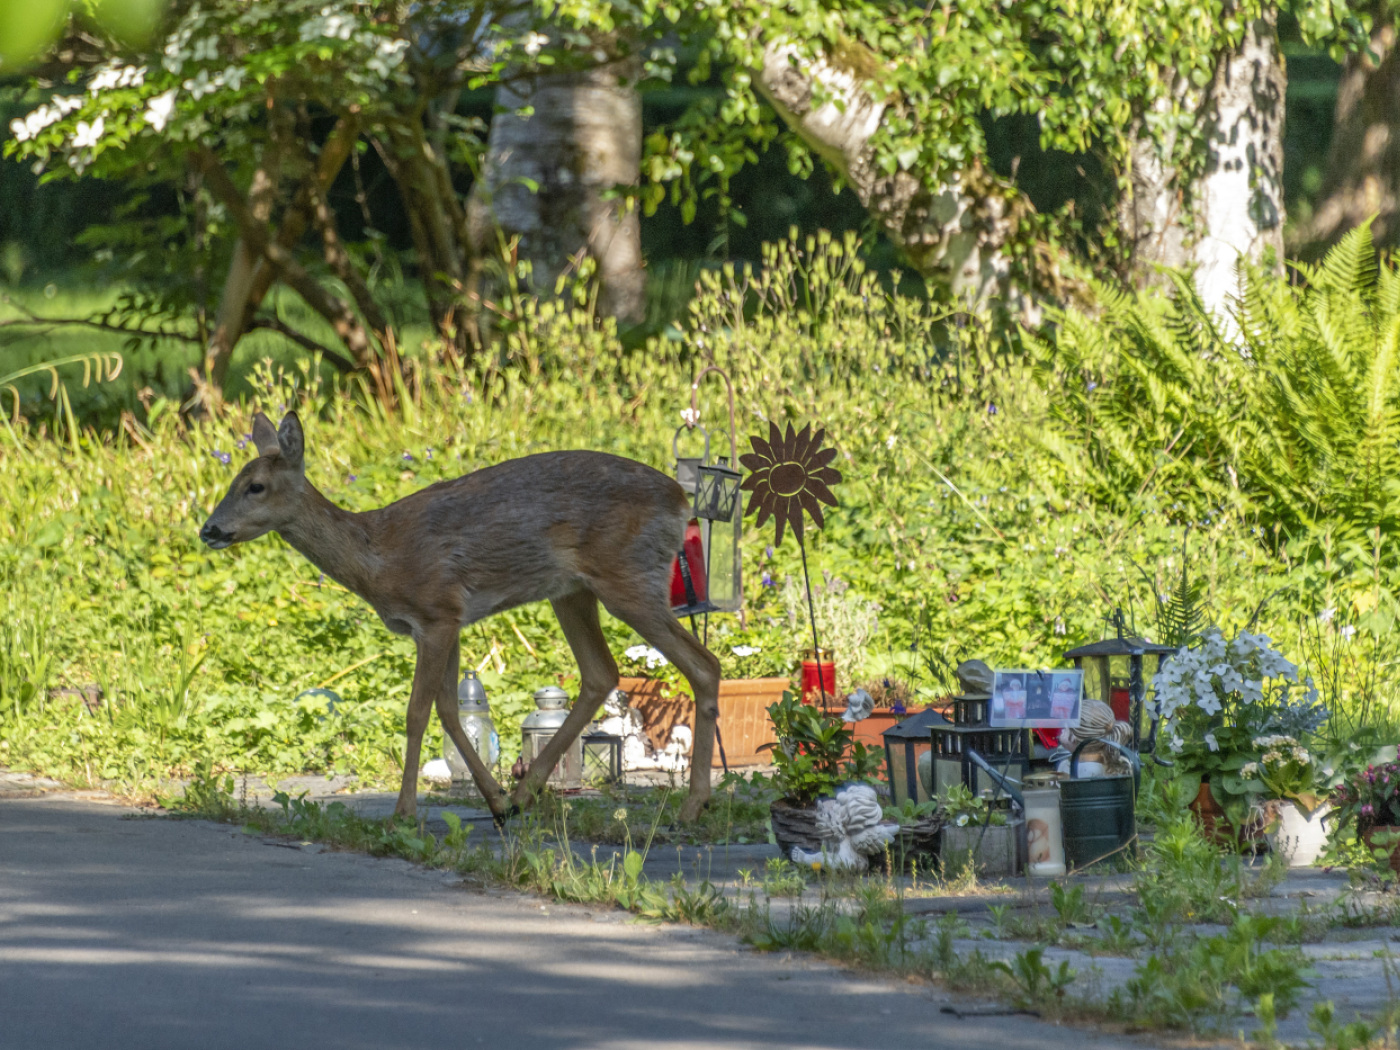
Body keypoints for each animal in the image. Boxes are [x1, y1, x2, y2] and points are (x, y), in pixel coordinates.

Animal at [199, 411, 722, 823]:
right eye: (232, 481)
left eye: (256, 486)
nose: (209, 529)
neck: (378, 556)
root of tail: (682, 501)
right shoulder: (445, 622)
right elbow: (449, 712)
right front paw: (496, 801)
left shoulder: (436, 612)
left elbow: (416, 713)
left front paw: (403, 812)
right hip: (573, 591)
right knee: (600, 672)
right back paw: (525, 794)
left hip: (628, 578)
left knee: (703, 664)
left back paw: (691, 806)